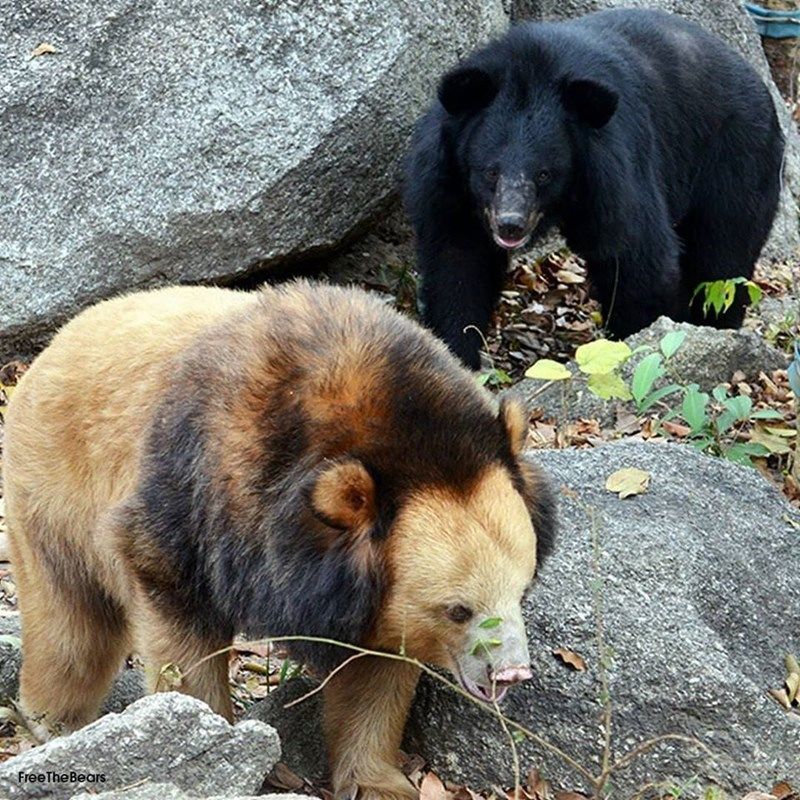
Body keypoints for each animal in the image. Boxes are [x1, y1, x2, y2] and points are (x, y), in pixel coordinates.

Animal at [404, 8, 784, 368]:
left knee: (722, 259)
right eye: (490, 172)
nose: (510, 224)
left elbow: (636, 255)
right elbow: (458, 263)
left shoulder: (614, 169)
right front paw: (458, 355)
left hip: (736, 160)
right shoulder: (447, 184)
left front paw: (640, 341)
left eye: (544, 174)